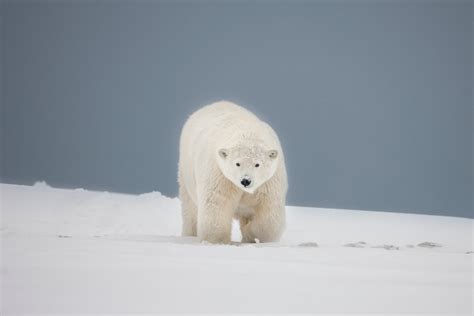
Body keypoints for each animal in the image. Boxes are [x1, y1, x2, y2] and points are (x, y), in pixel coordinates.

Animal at [179, 100, 286, 243]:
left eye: (257, 164)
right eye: (237, 163)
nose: (245, 181)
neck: (247, 131)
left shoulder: (269, 182)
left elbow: (269, 214)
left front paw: (250, 233)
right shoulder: (220, 174)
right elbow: (217, 203)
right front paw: (217, 240)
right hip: (186, 171)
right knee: (190, 208)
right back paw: (189, 234)